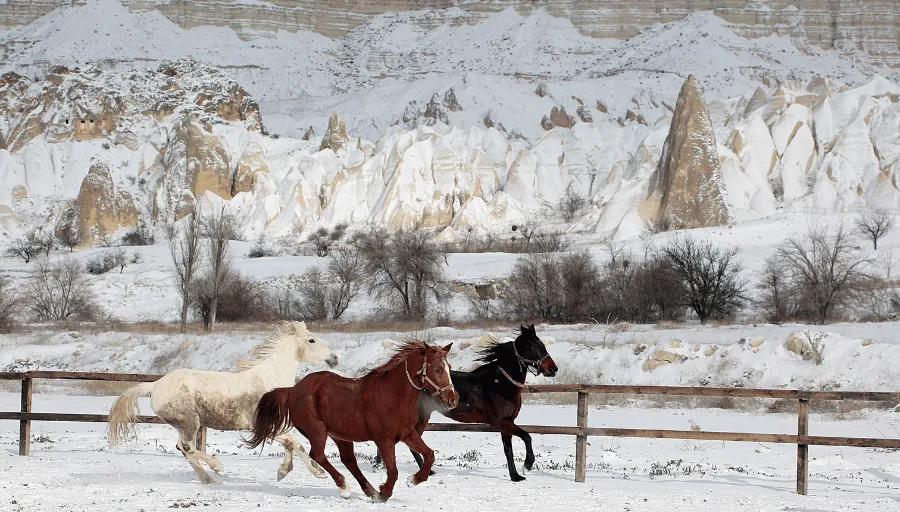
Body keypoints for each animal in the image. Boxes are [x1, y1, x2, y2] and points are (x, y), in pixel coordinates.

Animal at [107, 321, 339, 484]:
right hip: (190, 422)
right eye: (311, 340)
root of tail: (155, 386)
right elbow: (295, 443)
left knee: (183, 449)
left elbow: (292, 444)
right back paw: (216, 467)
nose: (335, 358)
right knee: (187, 447)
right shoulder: (260, 426)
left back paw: (209, 479)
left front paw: (288, 472)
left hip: (185, 424)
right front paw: (313, 472)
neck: (269, 380)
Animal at [245, 340, 459, 502]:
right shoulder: (384, 440)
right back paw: (345, 487)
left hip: (341, 435)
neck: (392, 396)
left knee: (348, 460)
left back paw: (369, 491)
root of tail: (292, 390)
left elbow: (429, 455)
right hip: (317, 430)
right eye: (438, 370)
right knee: (318, 455)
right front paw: (384, 493)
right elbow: (393, 471)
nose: (453, 399)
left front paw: (412, 480)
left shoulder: (407, 433)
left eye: (449, 368)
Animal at [375, 324, 558, 481]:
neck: (500, 383)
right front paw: (527, 465)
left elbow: (509, 450)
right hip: (420, 418)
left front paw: (515, 476)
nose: (553, 369)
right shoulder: (501, 422)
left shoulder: (507, 423)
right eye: (534, 346)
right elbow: (527, 436)